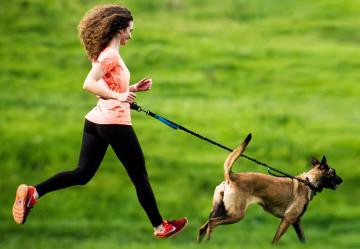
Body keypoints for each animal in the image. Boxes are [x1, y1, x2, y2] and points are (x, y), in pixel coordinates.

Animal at [198, 133, 342, 244]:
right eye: (333, 173)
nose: (342, 180)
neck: (308, 181)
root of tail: (231, 176)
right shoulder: (288, 219)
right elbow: (275, 240)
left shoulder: (296, 221)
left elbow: (303, 240)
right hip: (236, 214)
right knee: (212, 224)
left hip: (220, 210)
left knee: (203, 227)